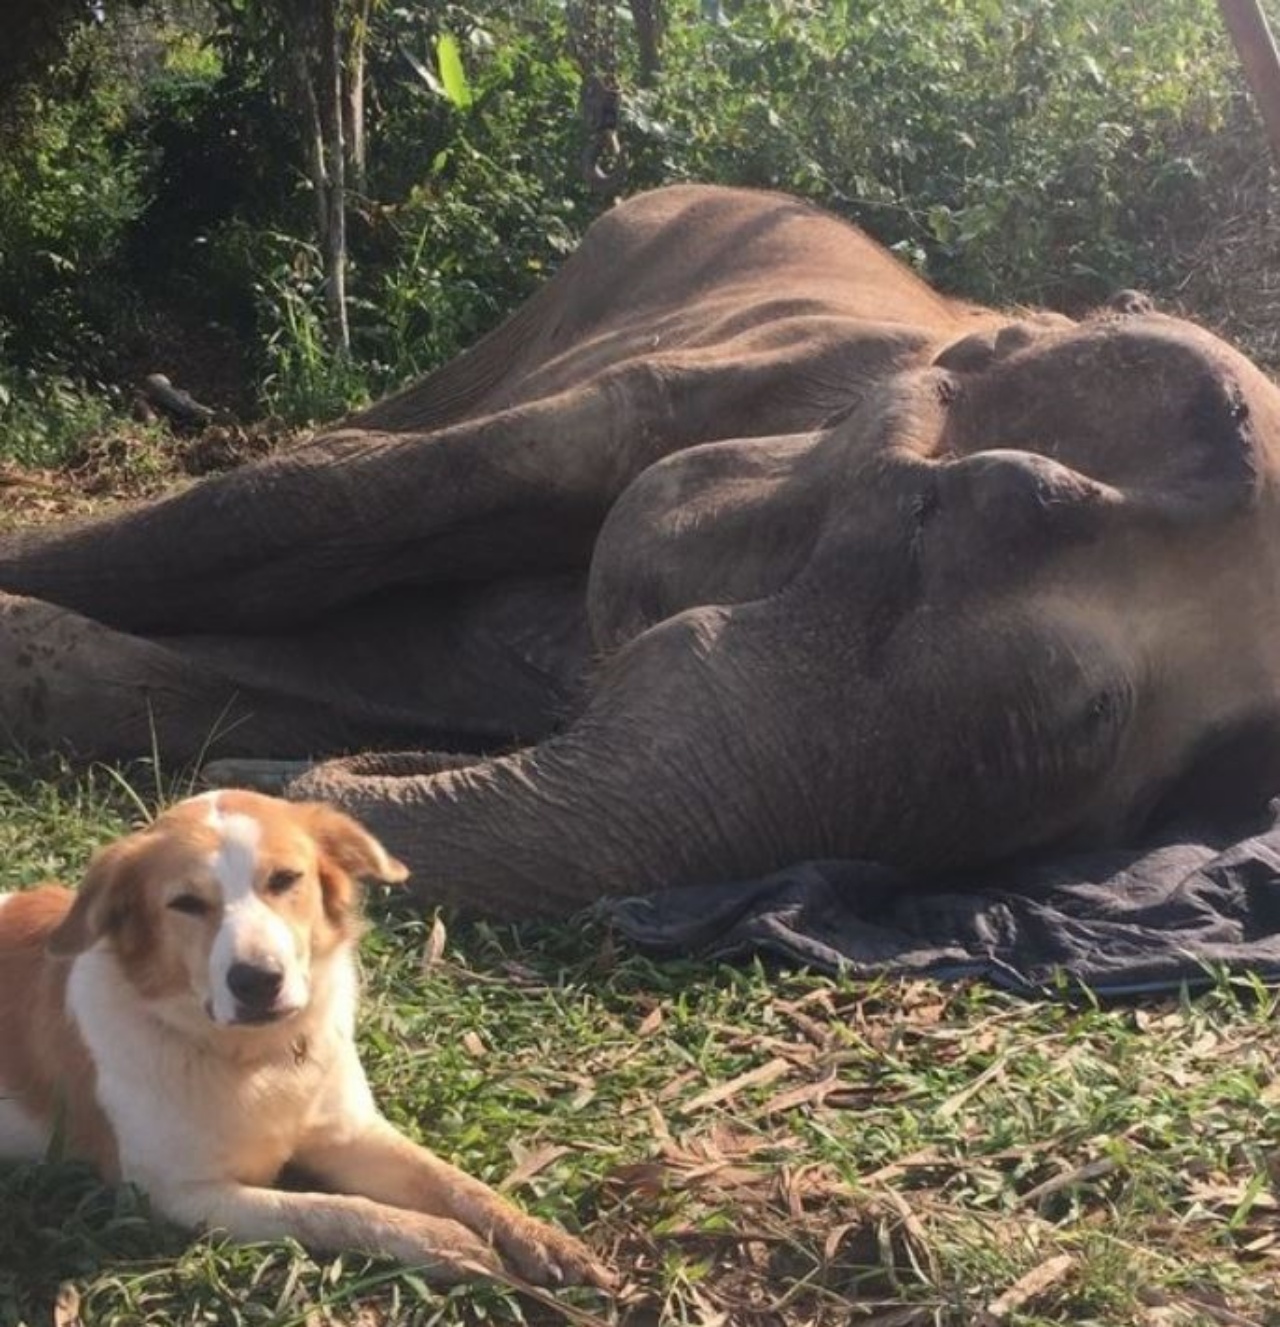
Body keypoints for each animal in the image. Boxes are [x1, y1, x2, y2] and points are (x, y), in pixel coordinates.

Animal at [0, 785, 610, 1284]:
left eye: (285, 880)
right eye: (186, 904)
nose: (257, 981)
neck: (257, 1061)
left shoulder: (352, 1132)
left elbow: (457, 1183)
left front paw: (537, 1236)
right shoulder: (177, 1194)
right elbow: (328, 1209)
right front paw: (443, 1243)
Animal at [2, 181, 1278, 918]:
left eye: (1172, 779)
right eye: (954, 514)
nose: (276, 799)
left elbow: (308, 674)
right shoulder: (690, 389)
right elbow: (306, 503)